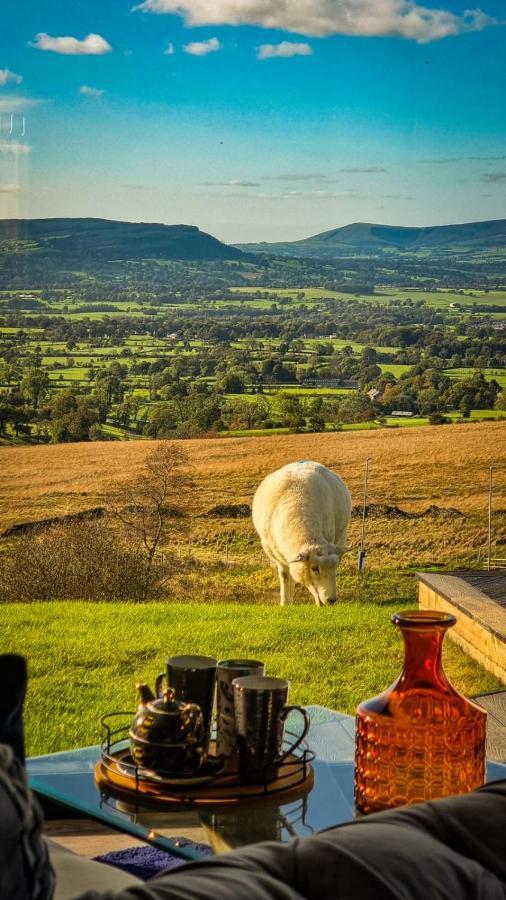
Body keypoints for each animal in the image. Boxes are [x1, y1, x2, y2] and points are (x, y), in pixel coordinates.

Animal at [252, 464, 352, 604]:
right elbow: (285, 576)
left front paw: (318, 602)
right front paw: (285, 603)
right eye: (314, 568)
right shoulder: (277, 556)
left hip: (341, 537)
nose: (331, 600)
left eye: (334, 567)